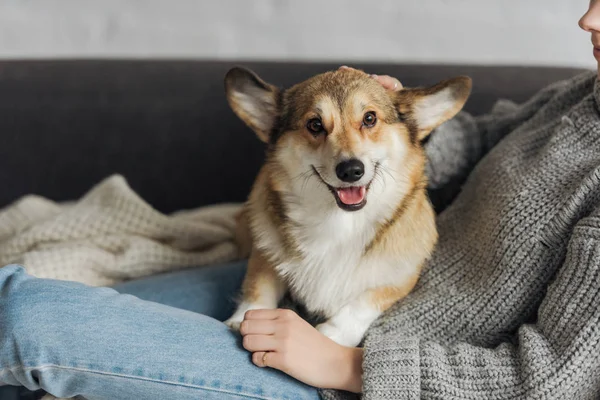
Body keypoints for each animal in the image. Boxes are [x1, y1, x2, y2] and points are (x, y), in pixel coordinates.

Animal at [223, 66, 472, 346]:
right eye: (315, 124)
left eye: (370, 118)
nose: (351, 170)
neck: (339, 223)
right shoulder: (263, 250)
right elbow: (259, 282)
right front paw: (244, 316)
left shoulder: (401, 276)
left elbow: (365, 301)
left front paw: (332, 333)